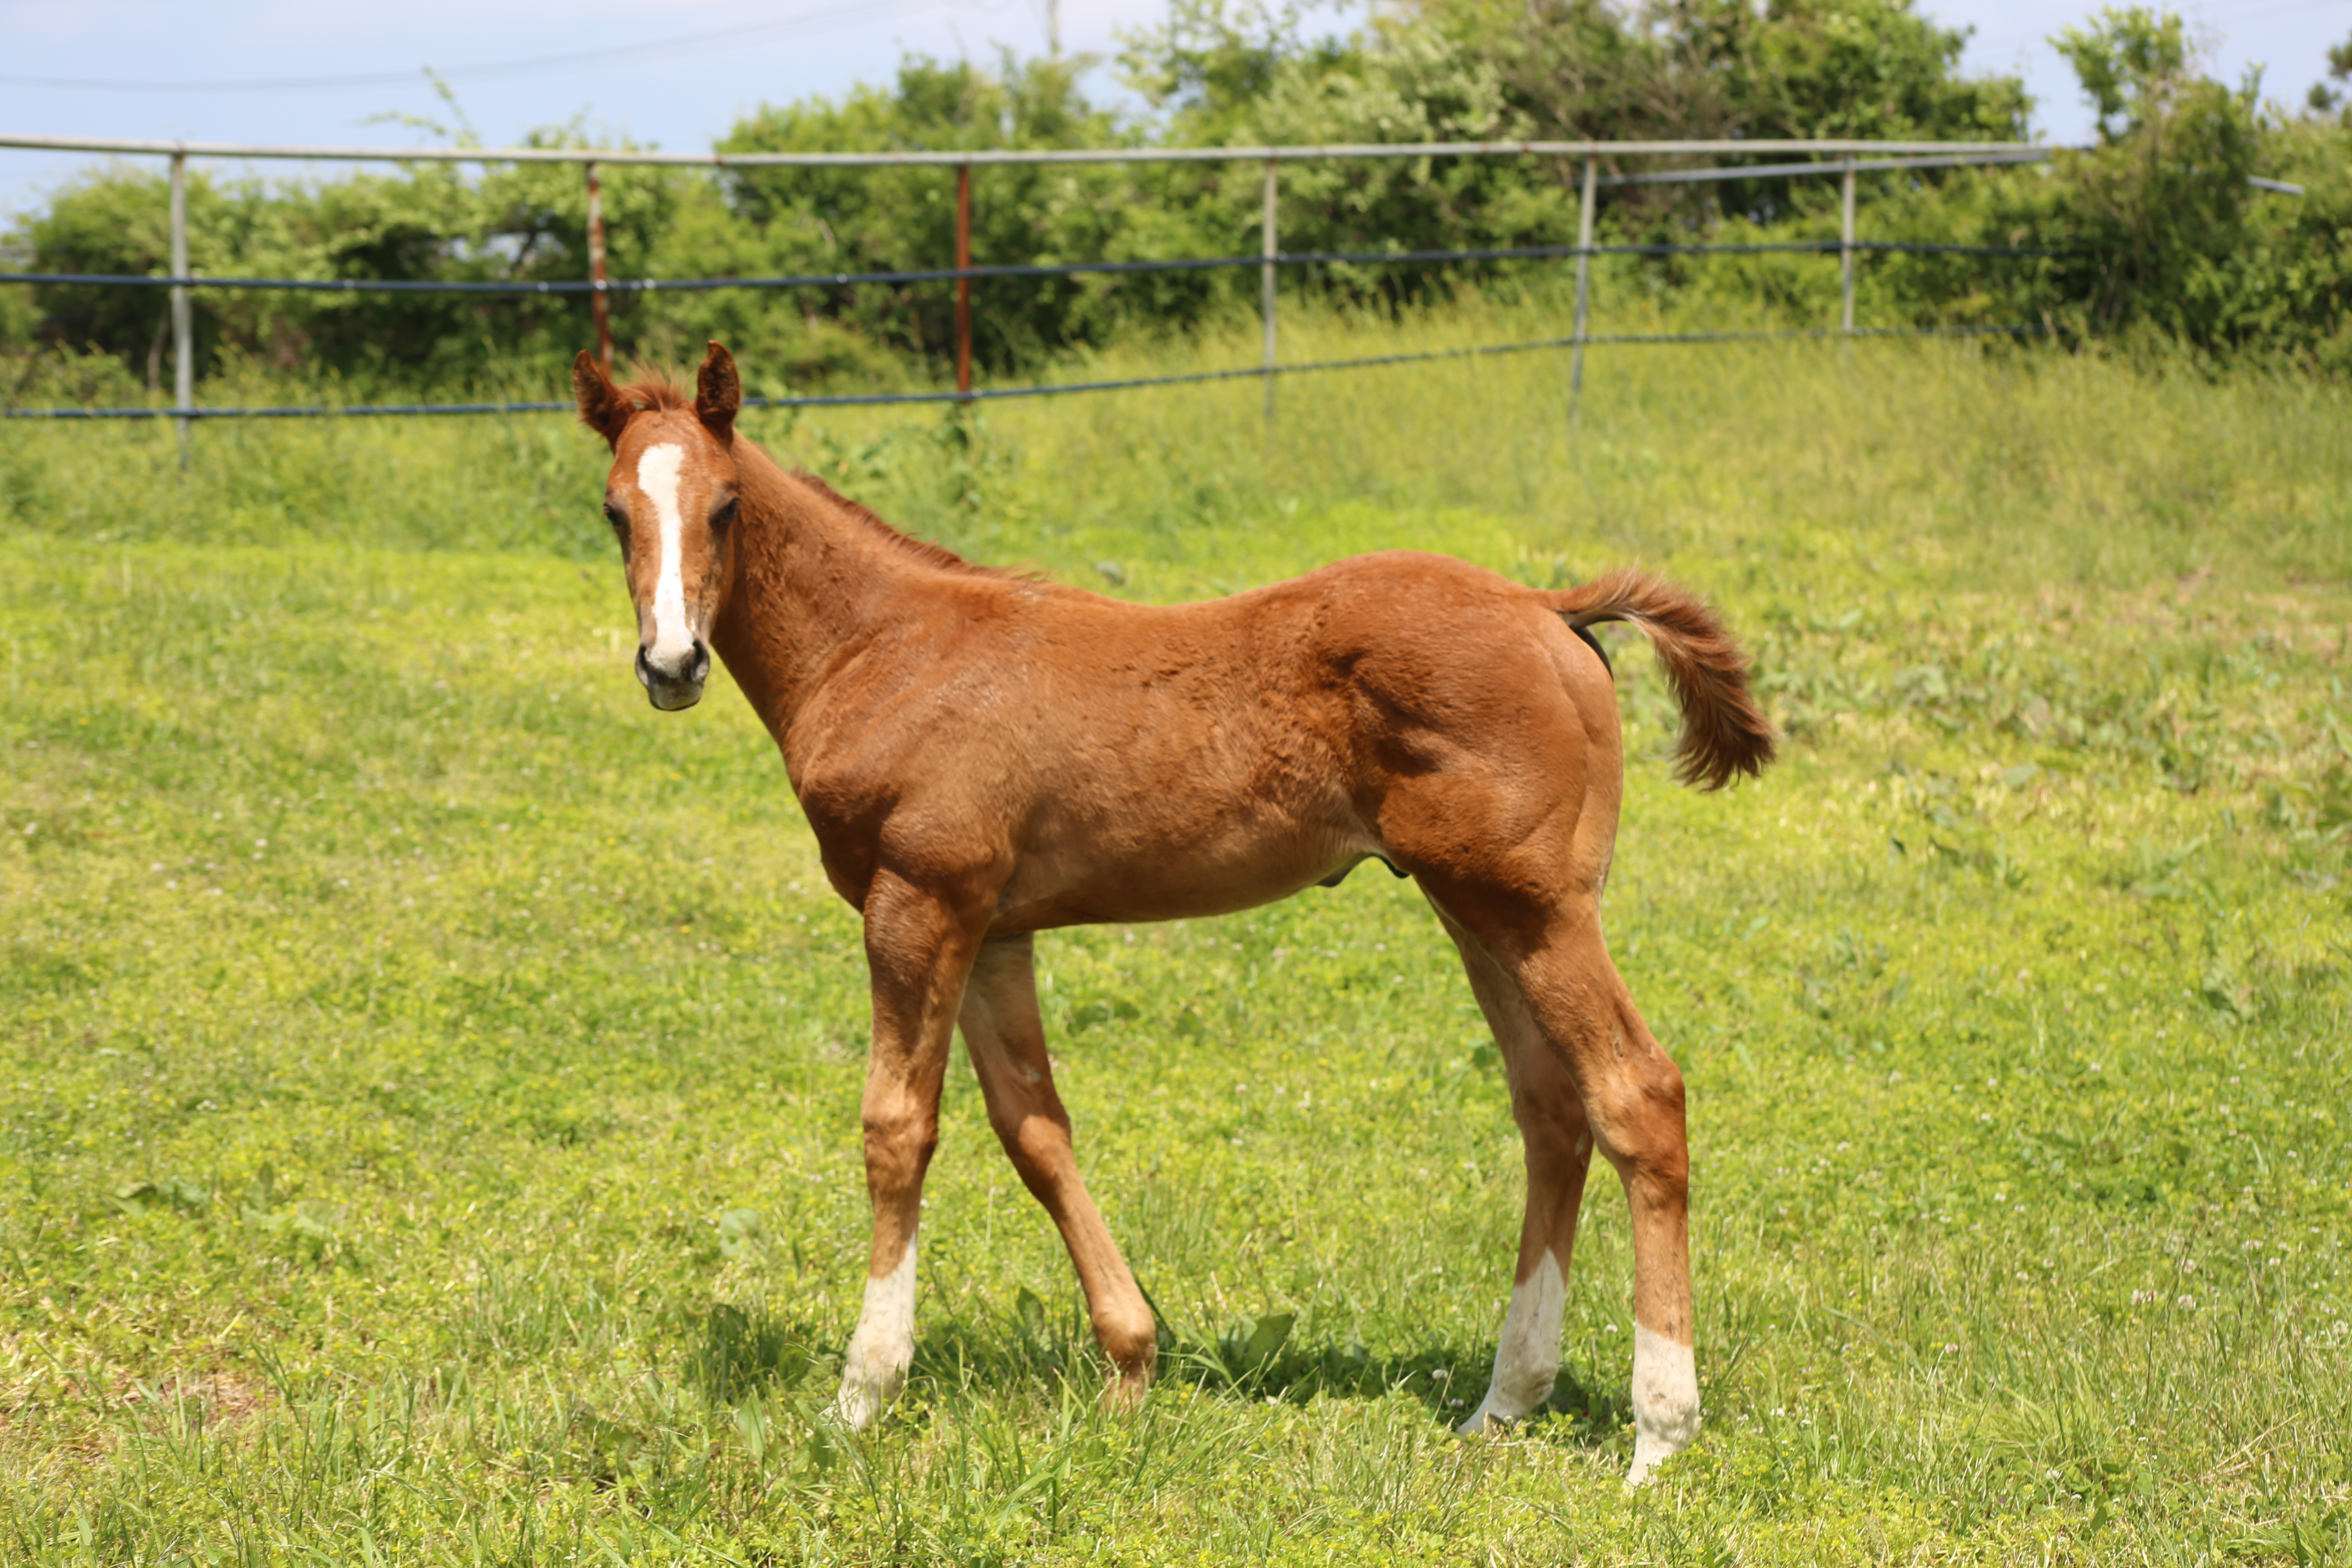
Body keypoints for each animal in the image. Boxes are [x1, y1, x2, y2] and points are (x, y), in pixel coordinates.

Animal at [578, 343, 1768, 1486]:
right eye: (614, 511)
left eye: (726, 503)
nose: (671, 664)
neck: (882, 648)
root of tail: (1547, 608)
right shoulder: (995, 929)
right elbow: (1034, 1129)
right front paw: (1131, 1363)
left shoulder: (917, 904)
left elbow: (897, 1128)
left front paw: (862, 1394)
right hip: (1477, 909)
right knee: (1551, 1110)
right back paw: (1502, 1404)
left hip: (1534, 908)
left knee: (1637, 1094)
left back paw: (1659, 1435)